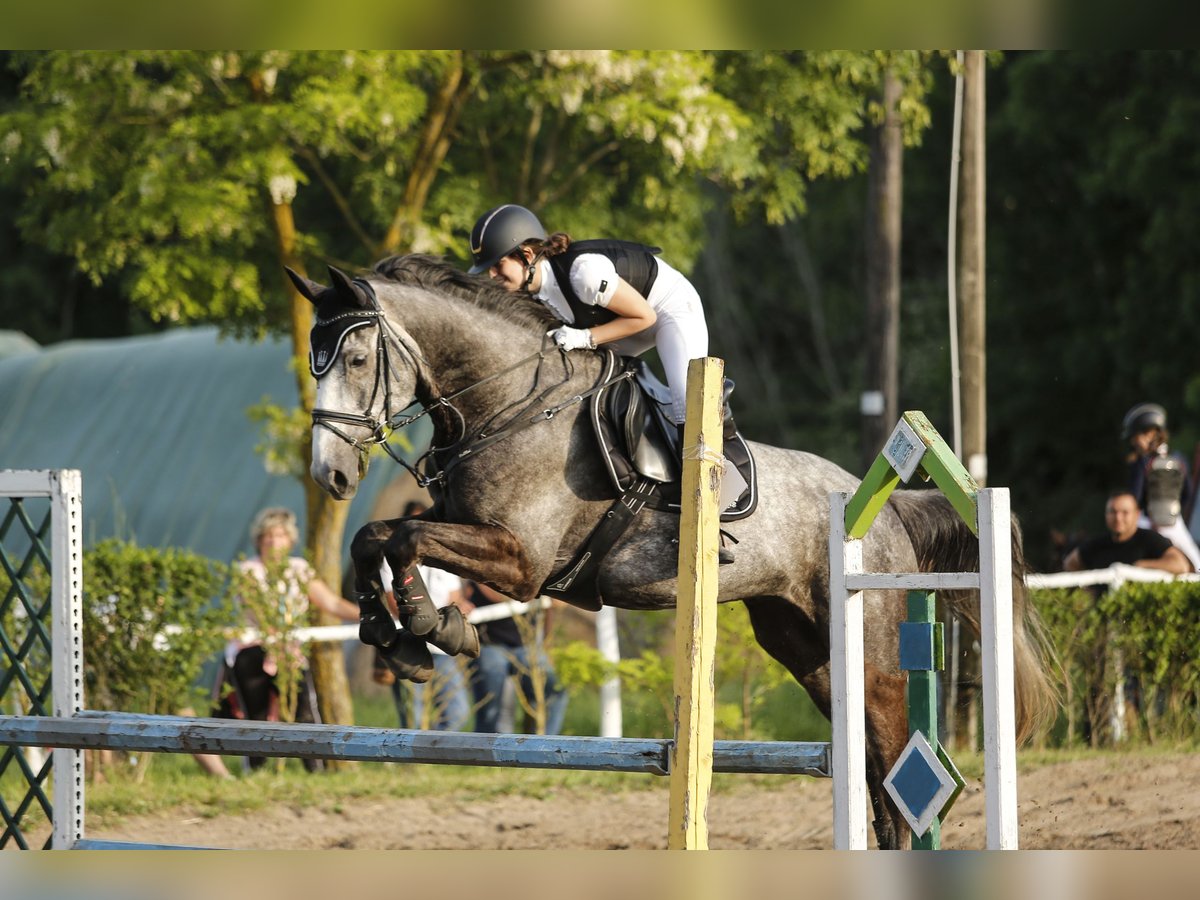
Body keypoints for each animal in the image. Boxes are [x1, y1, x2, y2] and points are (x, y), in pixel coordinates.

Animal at [293, 254, 1056, 849]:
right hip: (802, 644)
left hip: (869, 646)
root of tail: (880, 506)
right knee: (866, 757)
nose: (331, 476)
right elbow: (375, 537)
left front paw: (429, 628)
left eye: (355, 359)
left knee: (893, 749)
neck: (509, 404)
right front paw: (397, 636)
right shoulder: (464, 529)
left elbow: (405, 538)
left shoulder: (520, 562)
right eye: (313, 361)